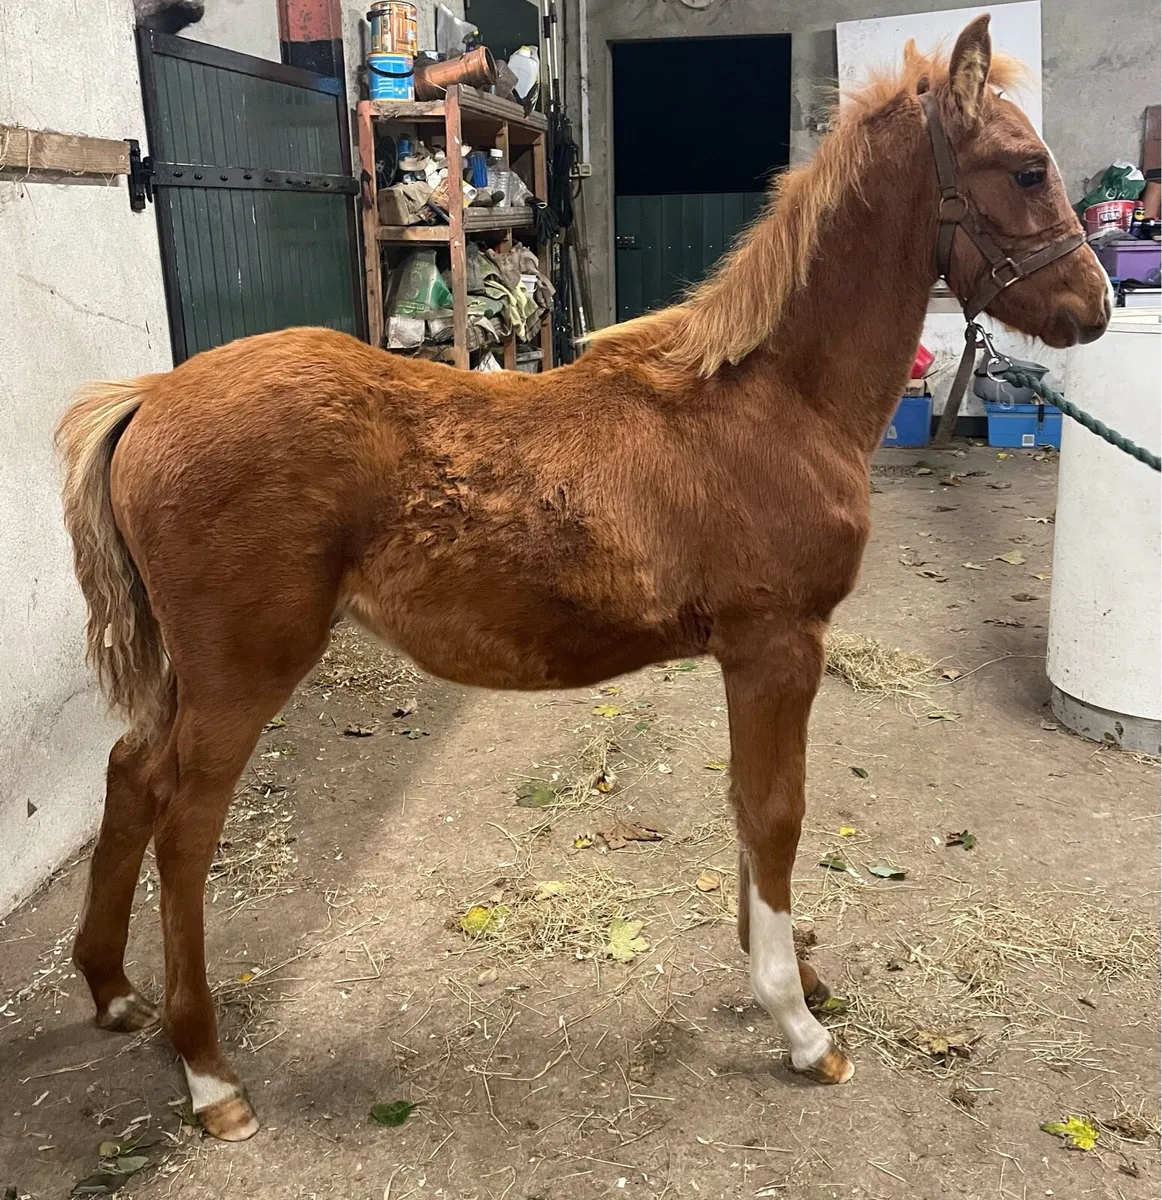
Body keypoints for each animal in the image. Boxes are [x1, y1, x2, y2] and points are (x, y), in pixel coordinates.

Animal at [55, 15, 1109, 1141]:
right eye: (1026, 168)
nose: (1093, 306)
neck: (772, 398)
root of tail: (149, 395)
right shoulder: (779, 646)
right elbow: (775, 812)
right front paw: (799, 1026)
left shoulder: (750, 657)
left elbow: (747, 807)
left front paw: (794, 978)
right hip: (243, 670)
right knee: (183, 829)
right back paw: (210, 1075)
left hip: (193, 675)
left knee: (129, 774)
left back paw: (112, 991)